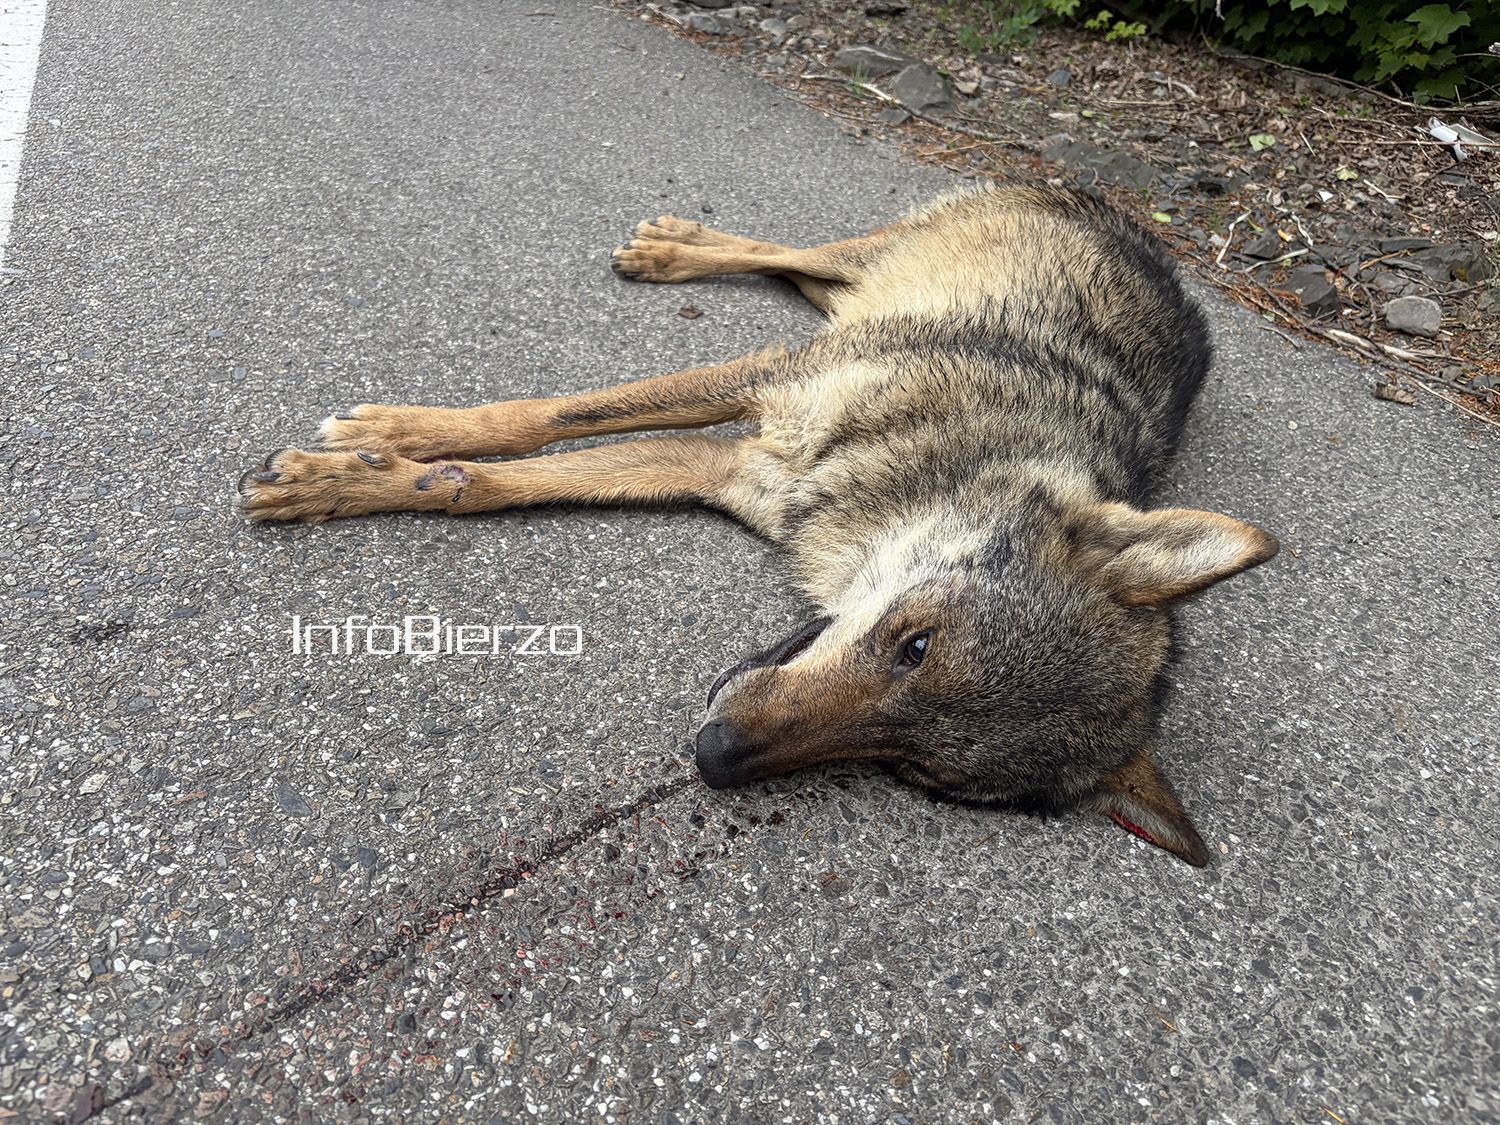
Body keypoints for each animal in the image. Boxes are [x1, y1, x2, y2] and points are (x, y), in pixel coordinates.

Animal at [239, 184, 1278, 865]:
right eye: (915, 643)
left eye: (910, 772)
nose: (715, 757)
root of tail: (1159, 249)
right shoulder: (766, 381)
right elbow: (539, 417)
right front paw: (378, 443)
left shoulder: (721, 462)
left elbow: (491, 484)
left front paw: (362, 475)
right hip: (860, 274)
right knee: (795, 255)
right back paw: (674, 245)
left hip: (854, 296)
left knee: (803, 276)